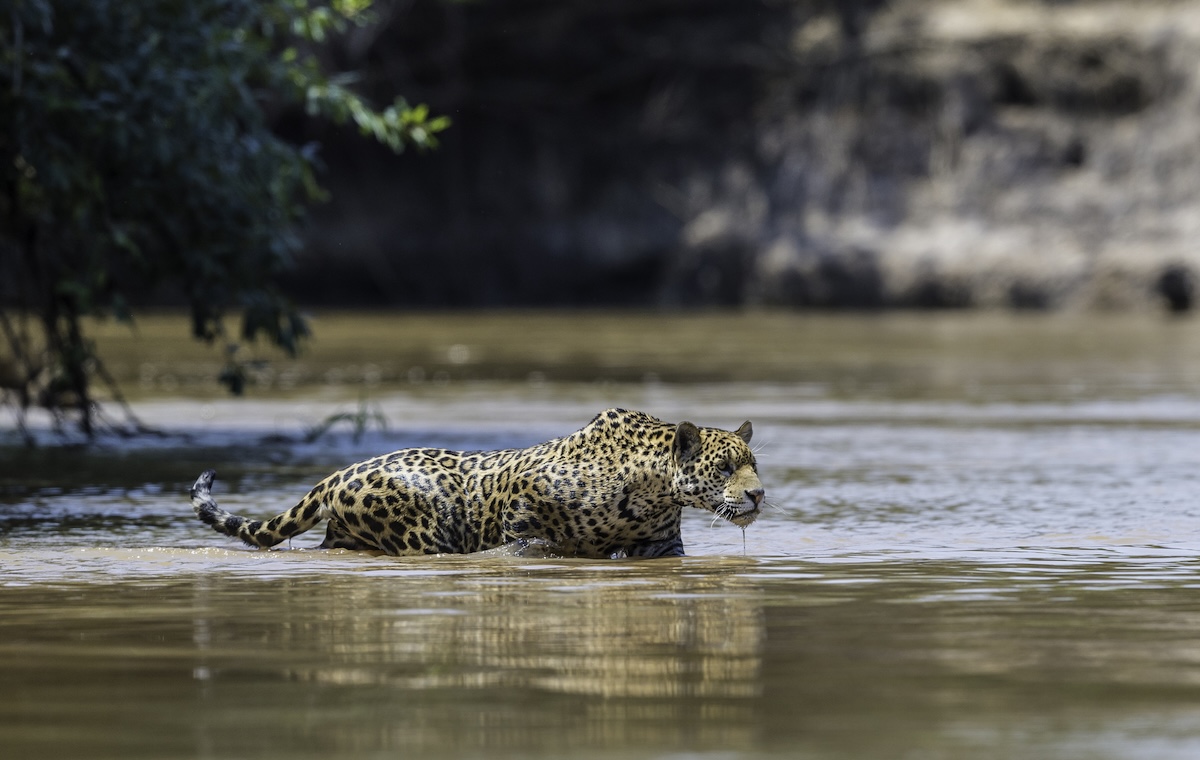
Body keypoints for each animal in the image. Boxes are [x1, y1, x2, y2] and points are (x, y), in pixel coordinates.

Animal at [188, 408, 765, 559]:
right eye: (724, 468)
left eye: (754, 464)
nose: (758, 493)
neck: (655, 487)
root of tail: (336, 475)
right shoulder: (523, 506)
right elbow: (525, 540)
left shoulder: (663, 547)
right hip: (423, 532)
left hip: (346, 535)